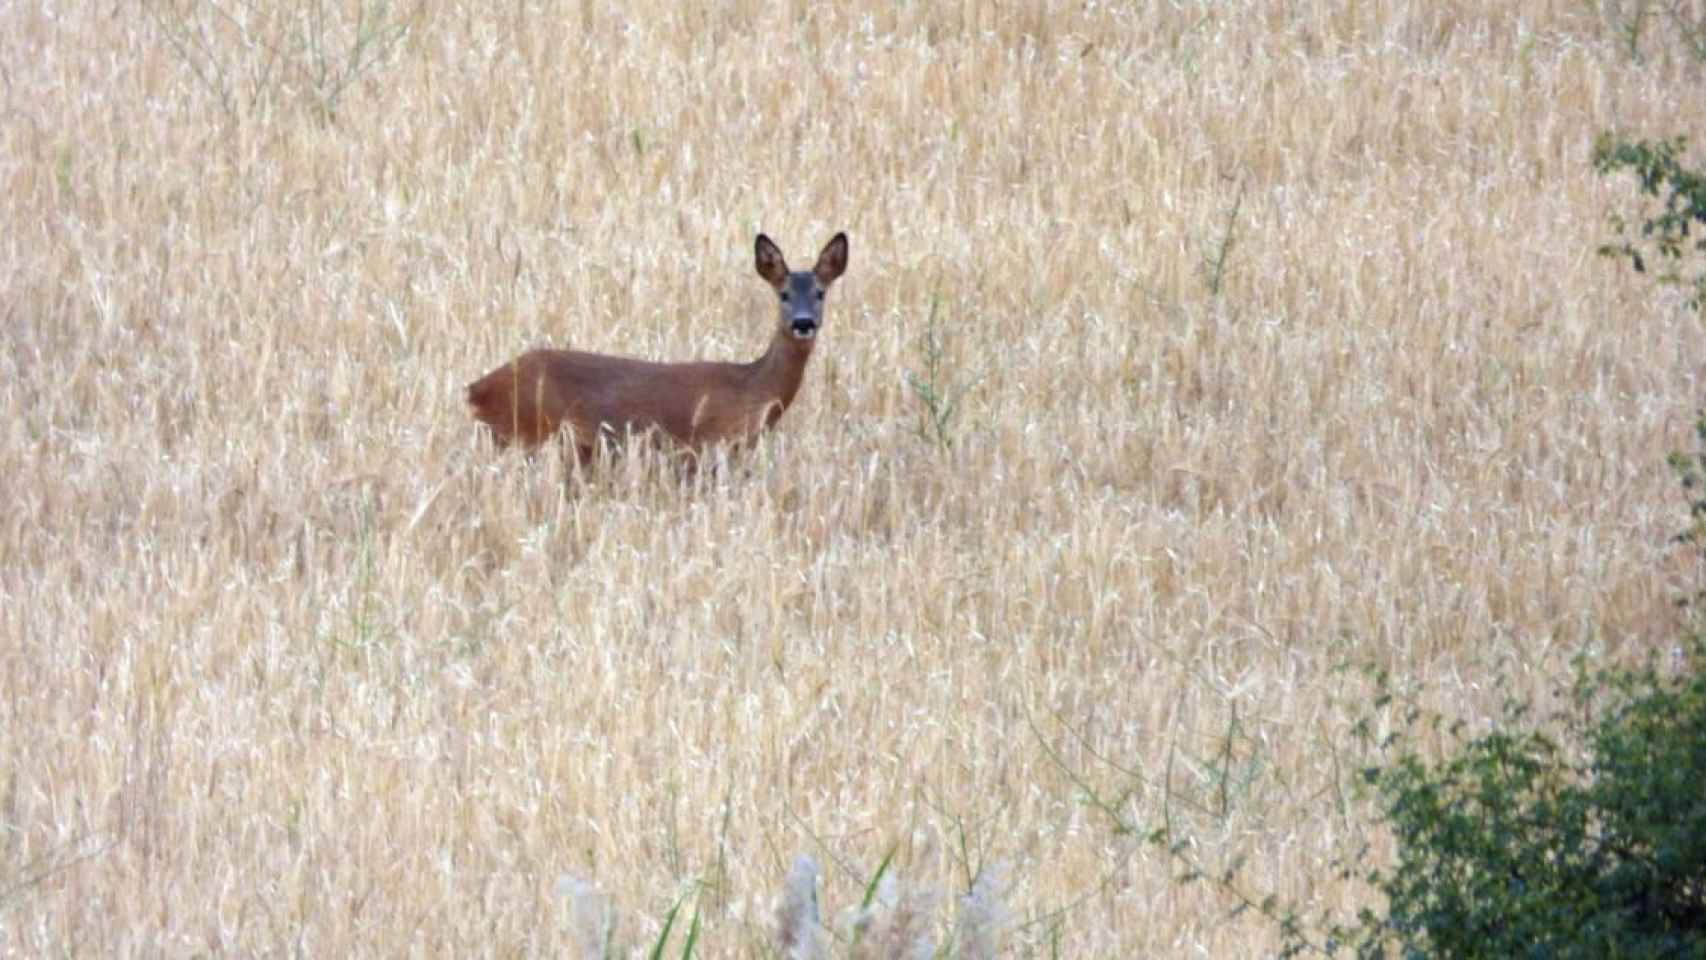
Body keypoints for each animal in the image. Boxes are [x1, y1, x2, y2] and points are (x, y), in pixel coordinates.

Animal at [464, 228, 849, 460]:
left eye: (820, 293)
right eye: (783, 294)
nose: (803, 323)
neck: (753, 389)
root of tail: (475, 389)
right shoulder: (710, 447)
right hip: (523, 434)